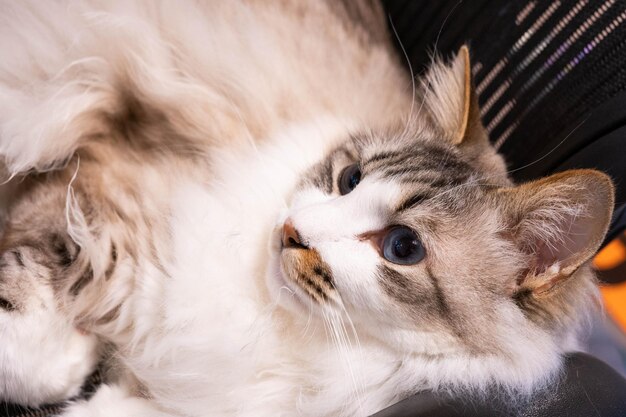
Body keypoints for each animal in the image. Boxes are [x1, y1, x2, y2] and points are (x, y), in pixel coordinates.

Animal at [0, 0, 612, 416]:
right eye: (349, 179)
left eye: (403, 247)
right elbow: (22, 316)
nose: (293, 231)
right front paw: (73, 355)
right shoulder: (96, 179)